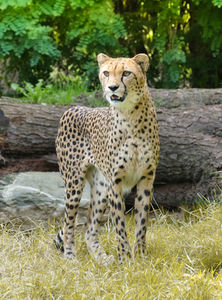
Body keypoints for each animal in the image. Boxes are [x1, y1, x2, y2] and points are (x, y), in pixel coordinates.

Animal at [55, 53, 160, 262]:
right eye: (106, 73)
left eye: (126, 73)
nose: (112, 87)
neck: (130, 116)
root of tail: (72, 109)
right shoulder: (115, 181)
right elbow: (119, 223)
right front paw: (125, 259)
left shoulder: (146, 178)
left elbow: (142, 222)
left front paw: (140, 256)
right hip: (74, 182)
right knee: (69, 223)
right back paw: (70, 257)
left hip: (101, 187)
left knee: (89, 227)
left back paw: (101, 259)